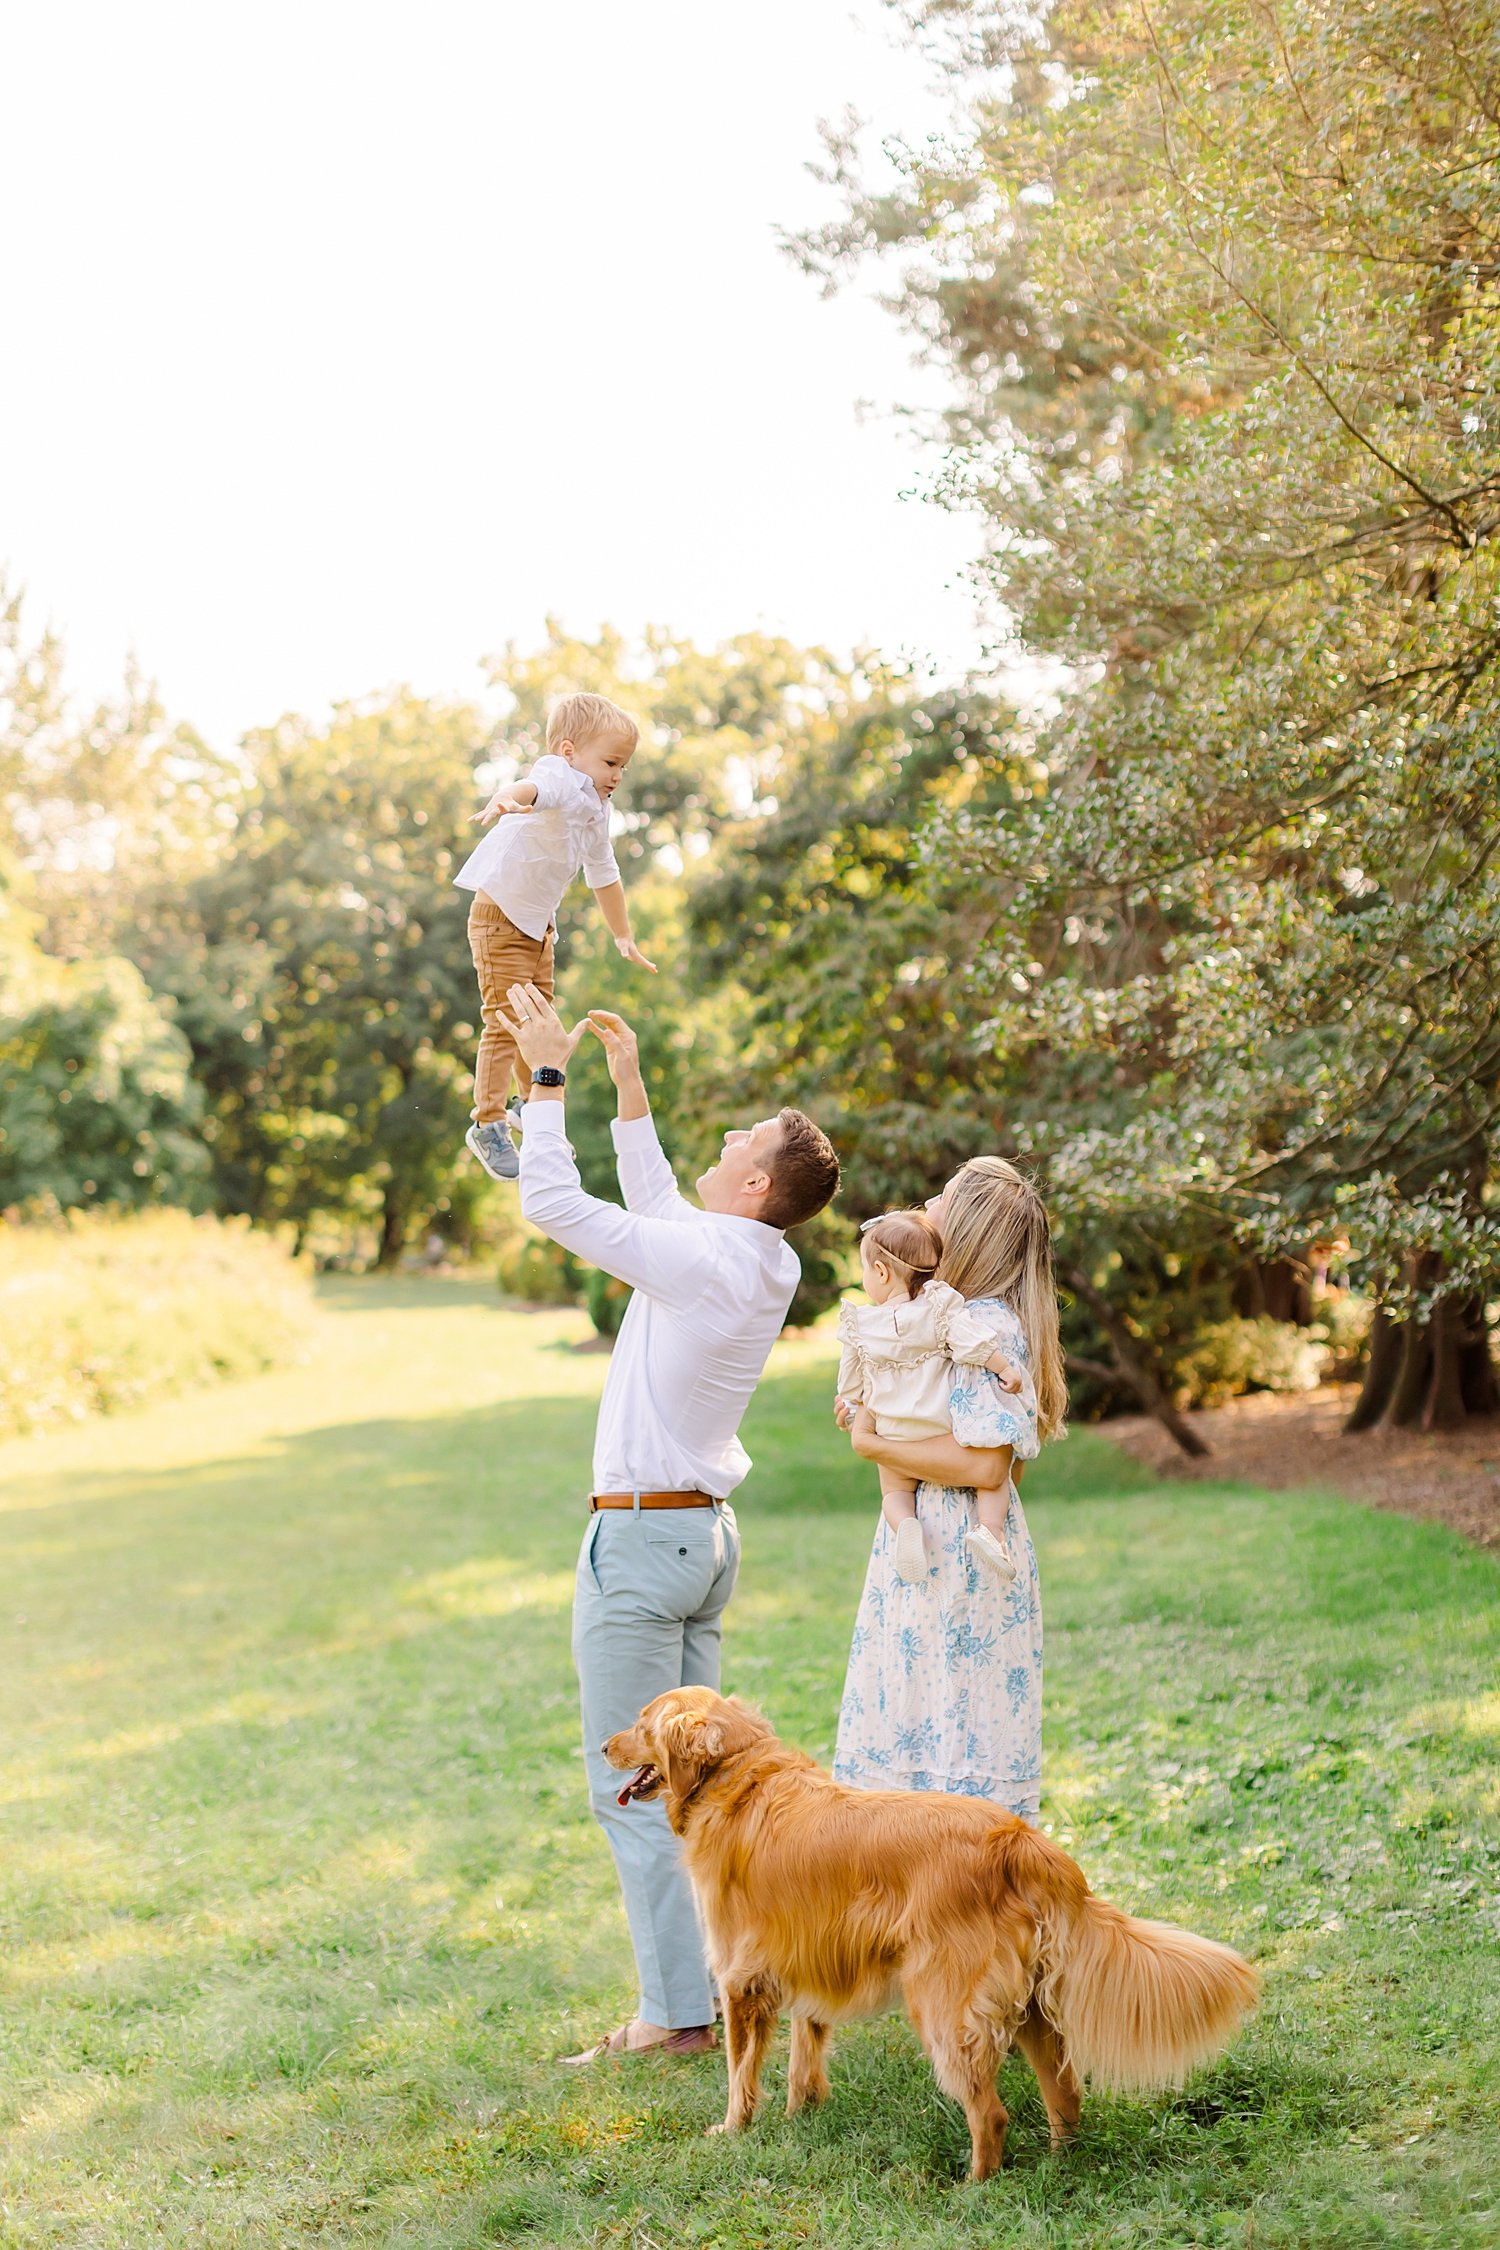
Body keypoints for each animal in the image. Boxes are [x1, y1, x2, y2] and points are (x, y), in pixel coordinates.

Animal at [602, 1692, 1259, 2178]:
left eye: (640, 1723)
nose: (603, 1744)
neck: (736, 1774)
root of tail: (1020, 1841)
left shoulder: (740, 1977)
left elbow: (741, 2073)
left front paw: (734, 2130)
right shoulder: (808, 1961)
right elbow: (802, 2058)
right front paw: (798, 2117)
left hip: (947, 2004)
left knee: (990, 2114)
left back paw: (975, 2186)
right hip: (1030, 2007)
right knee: (1066, 2092)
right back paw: (1060, 2163)